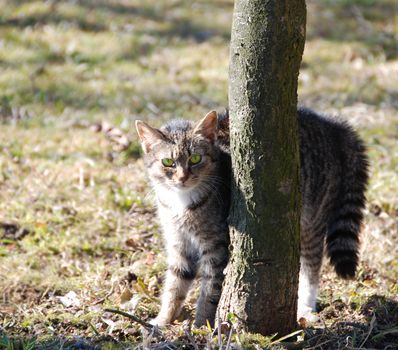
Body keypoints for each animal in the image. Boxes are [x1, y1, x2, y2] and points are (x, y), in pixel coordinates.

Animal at [135, 108, 368, 326]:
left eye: (195, 158)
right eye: (168, 162)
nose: (183, 177)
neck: (180, 202)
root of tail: (331, 124)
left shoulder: (217, 248)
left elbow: (209, 292)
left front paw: (202, 325)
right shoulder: (179, 244)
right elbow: (174, 286)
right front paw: (162, 321)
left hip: (311, 222)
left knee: (312, 266)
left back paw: (306, 307)